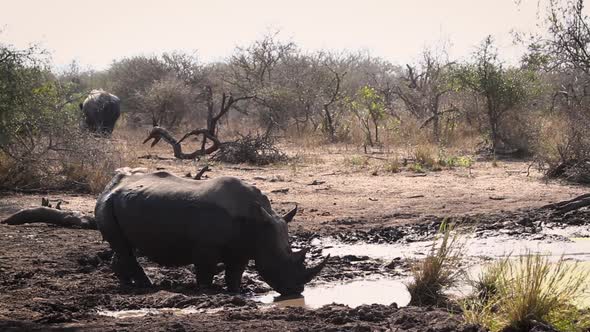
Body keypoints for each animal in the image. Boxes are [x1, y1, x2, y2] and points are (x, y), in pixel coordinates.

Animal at [95, 170, 330, 294]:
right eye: (279, 261)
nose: (297, 290)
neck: (259, 221)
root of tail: (109, 186)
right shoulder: (205, 248)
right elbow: (206, 271)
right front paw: (206, 291)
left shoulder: (243, 245)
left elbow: (235, 272)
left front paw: (236, 291)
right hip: (107, 203)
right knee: (124, 248)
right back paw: (146, 287)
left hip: (118, 203)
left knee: (124, 247)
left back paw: (127, 285)